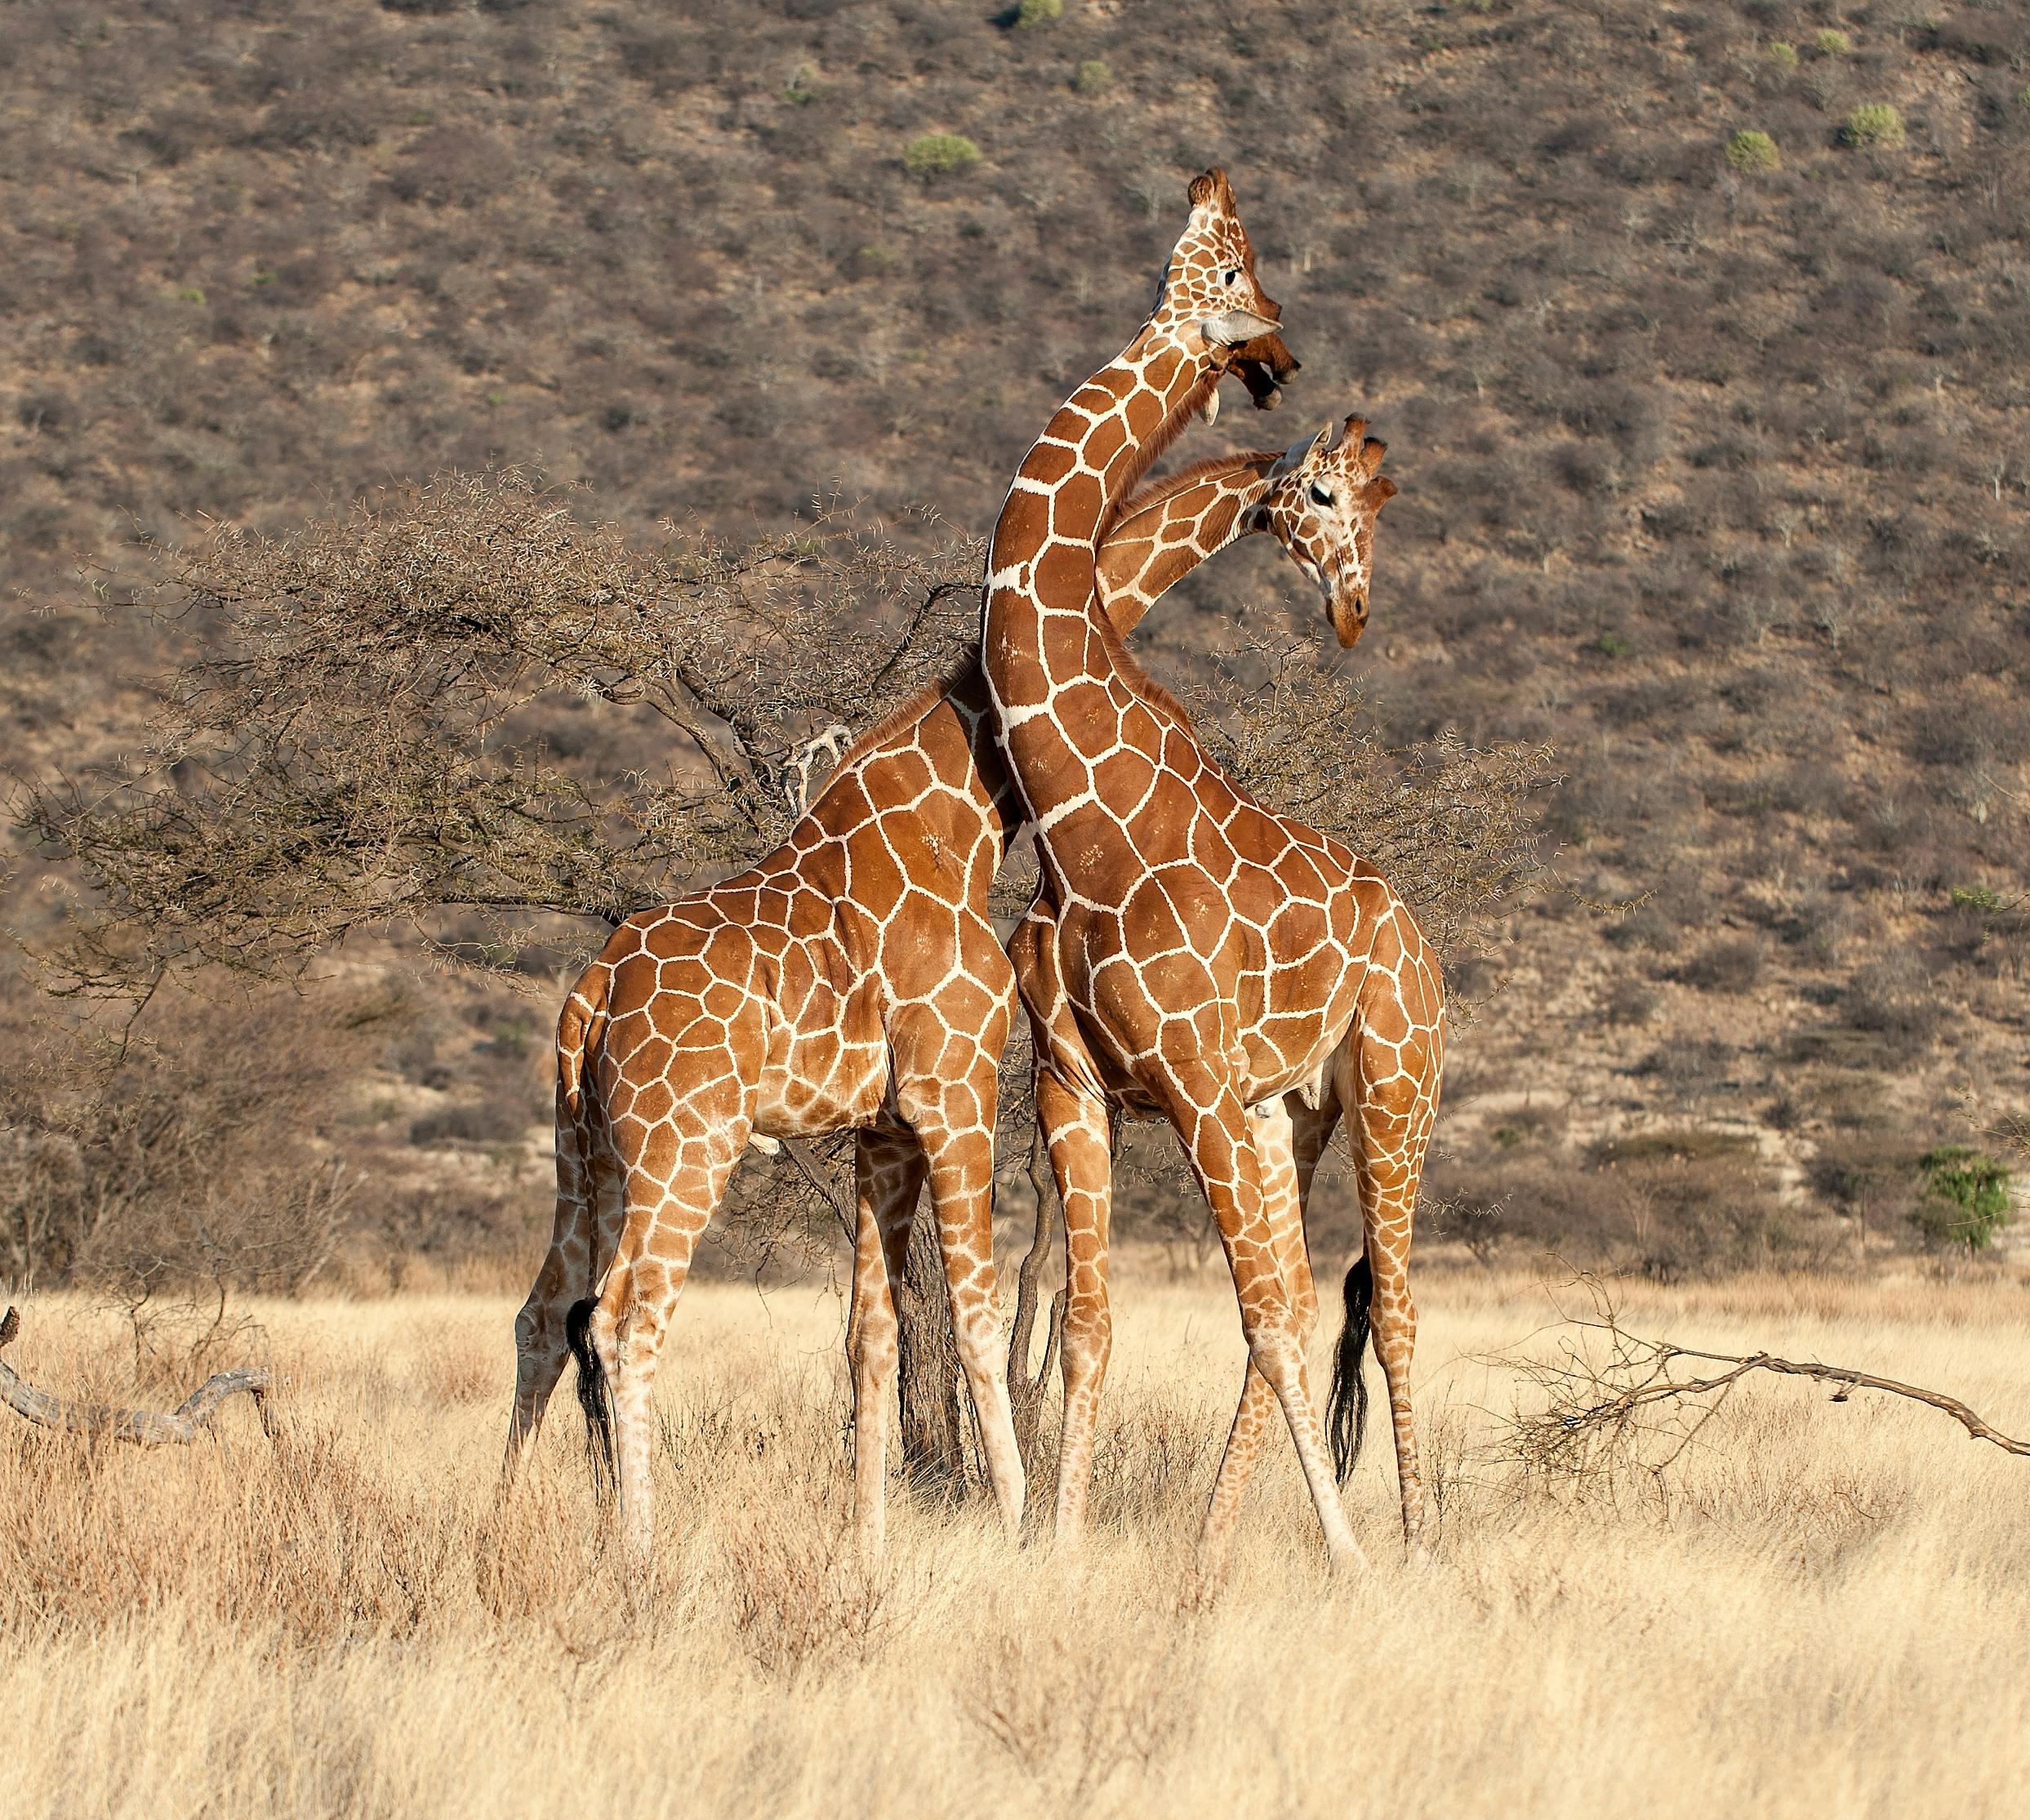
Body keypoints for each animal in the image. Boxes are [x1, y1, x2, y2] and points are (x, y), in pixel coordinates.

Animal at [495, 398, 1396, 1558]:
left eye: (1376, 502)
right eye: (1323, 497)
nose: (1352, 608)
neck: (959, 807)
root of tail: (591, 992)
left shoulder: (883, 1124)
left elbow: (874, 1335)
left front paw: (871, 1545)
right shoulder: (954, 1091)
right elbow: (970, 1318)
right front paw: (1015, 1530)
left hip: (587, 1149)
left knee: (542, 1313)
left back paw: (499, 1529)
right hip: (684, 1141)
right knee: (624, 1317)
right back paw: (638, 1550)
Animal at [978, 166, 1445, 1574]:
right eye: (1210, 254)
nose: (1352, 614)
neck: (1077, 812)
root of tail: (1420, 939)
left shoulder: (1187, 1083)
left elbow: (1275, 1320)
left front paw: (1348, 1561)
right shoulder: (1073, 1085)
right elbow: (1087, 1327)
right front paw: (1058, 1548)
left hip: (1395, 1085)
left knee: (1386, 1308)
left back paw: (1415, 1544)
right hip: (1288, 1112)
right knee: (1293, 1304)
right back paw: (1206, 1552)